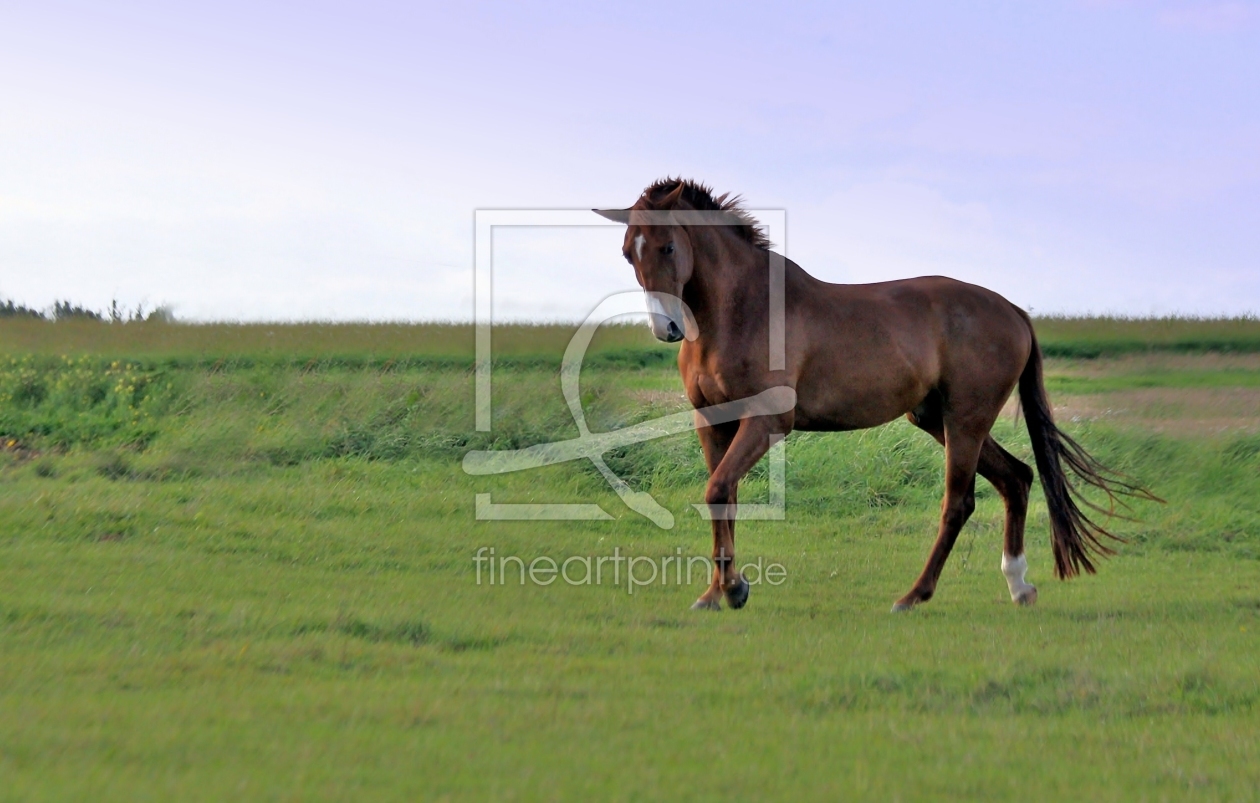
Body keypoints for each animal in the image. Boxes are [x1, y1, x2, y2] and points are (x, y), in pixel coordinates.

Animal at [594, 179, 1154, 610]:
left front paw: (733, 589)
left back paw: (914, 595)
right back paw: (1018, 586)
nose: (666, 328)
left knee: (959, 502)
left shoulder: (768, 421)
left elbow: (716, 491)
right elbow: (722, 496)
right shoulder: (711, 421)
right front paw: (719, 592)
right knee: (1015, 479)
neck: (739, 310)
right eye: (627, 252)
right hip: (935, 418)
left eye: (668, 246)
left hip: (965, 420)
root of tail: (1013, 310)